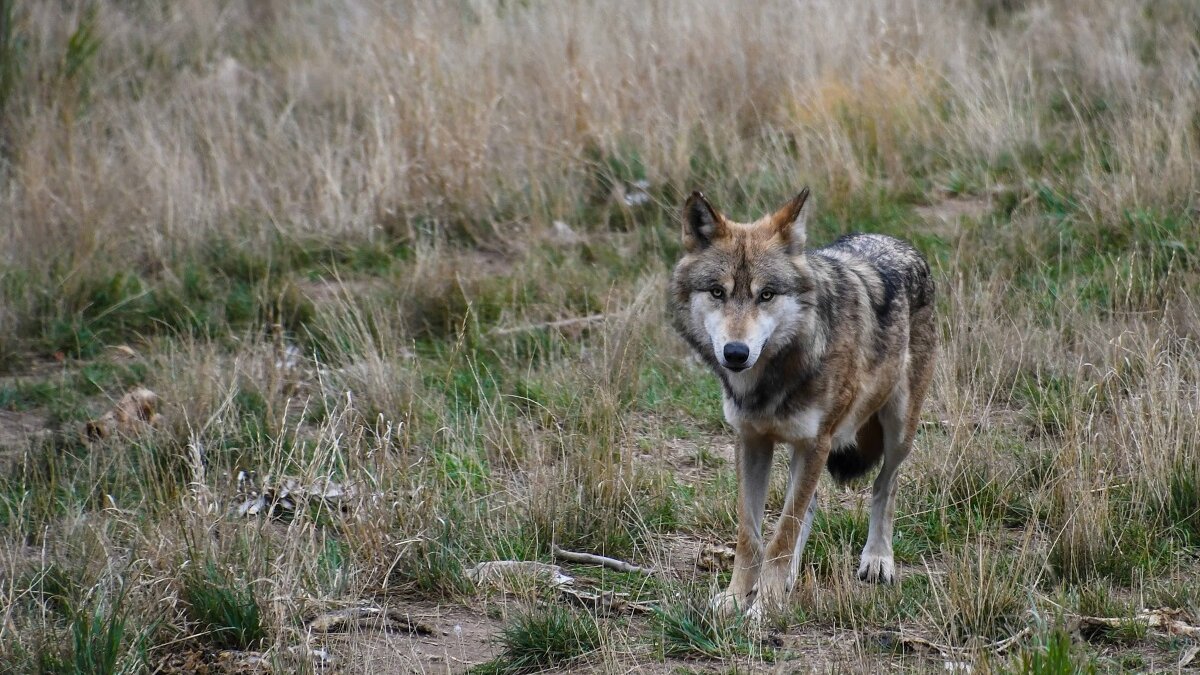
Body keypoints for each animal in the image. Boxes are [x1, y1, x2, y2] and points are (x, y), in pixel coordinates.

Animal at [668, 188, 937, 617]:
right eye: (717, 292)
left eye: (766, 294)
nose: (736, 353)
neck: (771, 381)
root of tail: (896, 241)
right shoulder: (751, 441)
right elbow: (753, 534)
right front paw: (736, 597)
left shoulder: (816, 442)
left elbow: (781, 534)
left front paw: (763, 609)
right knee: (808, 507)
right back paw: (790, 579)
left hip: (898, 431)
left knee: (885, 485)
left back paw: (878, 560)